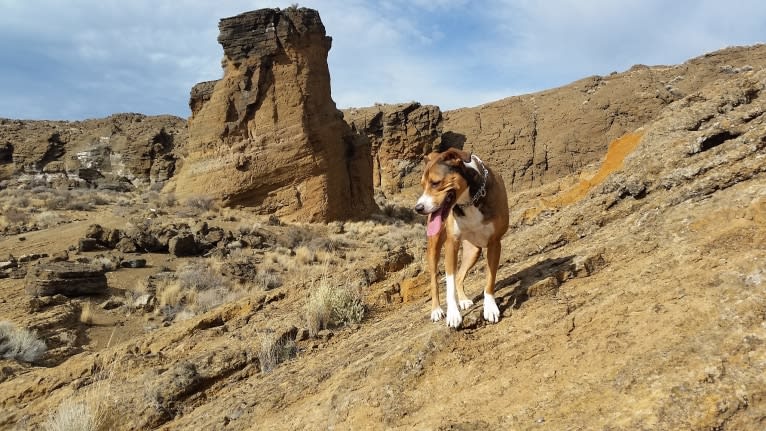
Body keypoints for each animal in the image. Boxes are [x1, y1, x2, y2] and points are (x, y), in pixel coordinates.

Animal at [414, 148, 510, 328]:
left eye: (435, 183)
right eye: (423, 186)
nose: (418, 208)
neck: (469, 200)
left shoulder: (494, 243)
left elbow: (490, 279)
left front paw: (490, 308)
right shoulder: (452, 244)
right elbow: (449, 283)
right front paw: (453, 314)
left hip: (473, 251)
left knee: (459, 276)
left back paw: (464, 300)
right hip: (434, 247)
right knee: (434, 280)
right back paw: (436, 310)